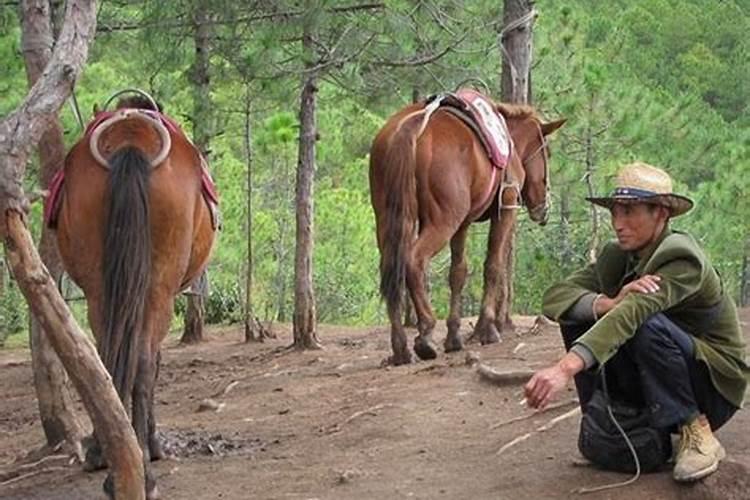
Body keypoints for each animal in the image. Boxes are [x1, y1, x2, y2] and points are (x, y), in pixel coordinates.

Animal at [52, 90, 217, 496]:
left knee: (109, 362)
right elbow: (153, 365)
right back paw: (141, 465)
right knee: (139, 362)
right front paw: (152, 444)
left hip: (103, 289)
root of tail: (130, 140)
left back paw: (118, 464)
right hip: (158, 289)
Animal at [370, 95, 564, 366]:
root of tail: (411, 126)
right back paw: (426, 333)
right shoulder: (505, 210)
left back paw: (400, 348)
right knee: (414, 260)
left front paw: (453, 336)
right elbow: (493, 266)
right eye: (548, 152)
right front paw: (487, 328)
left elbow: (458, 273)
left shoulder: (462, 225)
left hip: (390, 221)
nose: (543, 207)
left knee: (391, 269)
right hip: (441, 222)